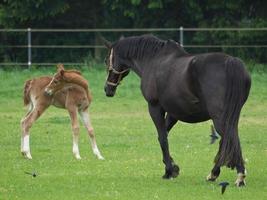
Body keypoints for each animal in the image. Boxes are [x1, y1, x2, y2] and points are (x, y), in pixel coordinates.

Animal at [102, 34, 251, 186]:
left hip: (219, 117)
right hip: (230, 115)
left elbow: (162, 138)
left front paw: (169, 171)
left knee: (229, 137)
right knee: (228, 139)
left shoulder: (155, 107)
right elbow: (163, 134)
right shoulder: (174, 113)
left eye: (107, 60)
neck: (153, 60)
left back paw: (238, 175)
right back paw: (214, 174)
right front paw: (173, 167)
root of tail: (231, 61)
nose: (107, 89)